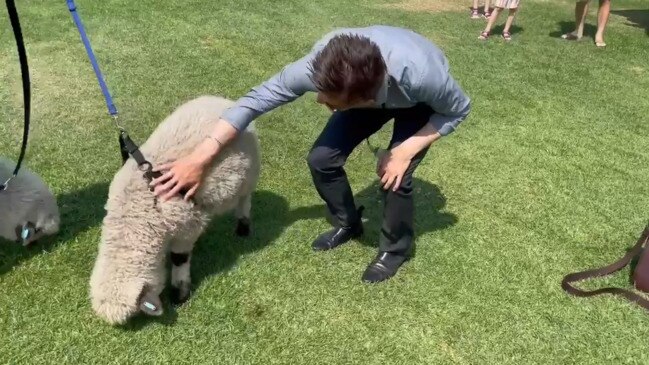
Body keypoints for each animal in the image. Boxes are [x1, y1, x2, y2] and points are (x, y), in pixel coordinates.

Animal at [89, 94, 260, 324]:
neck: (134, 214)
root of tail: (222, 100)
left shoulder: (185, 225)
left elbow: (179, 258)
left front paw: (180, 293)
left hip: (249, 172)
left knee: (244, 200)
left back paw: (243, 226)